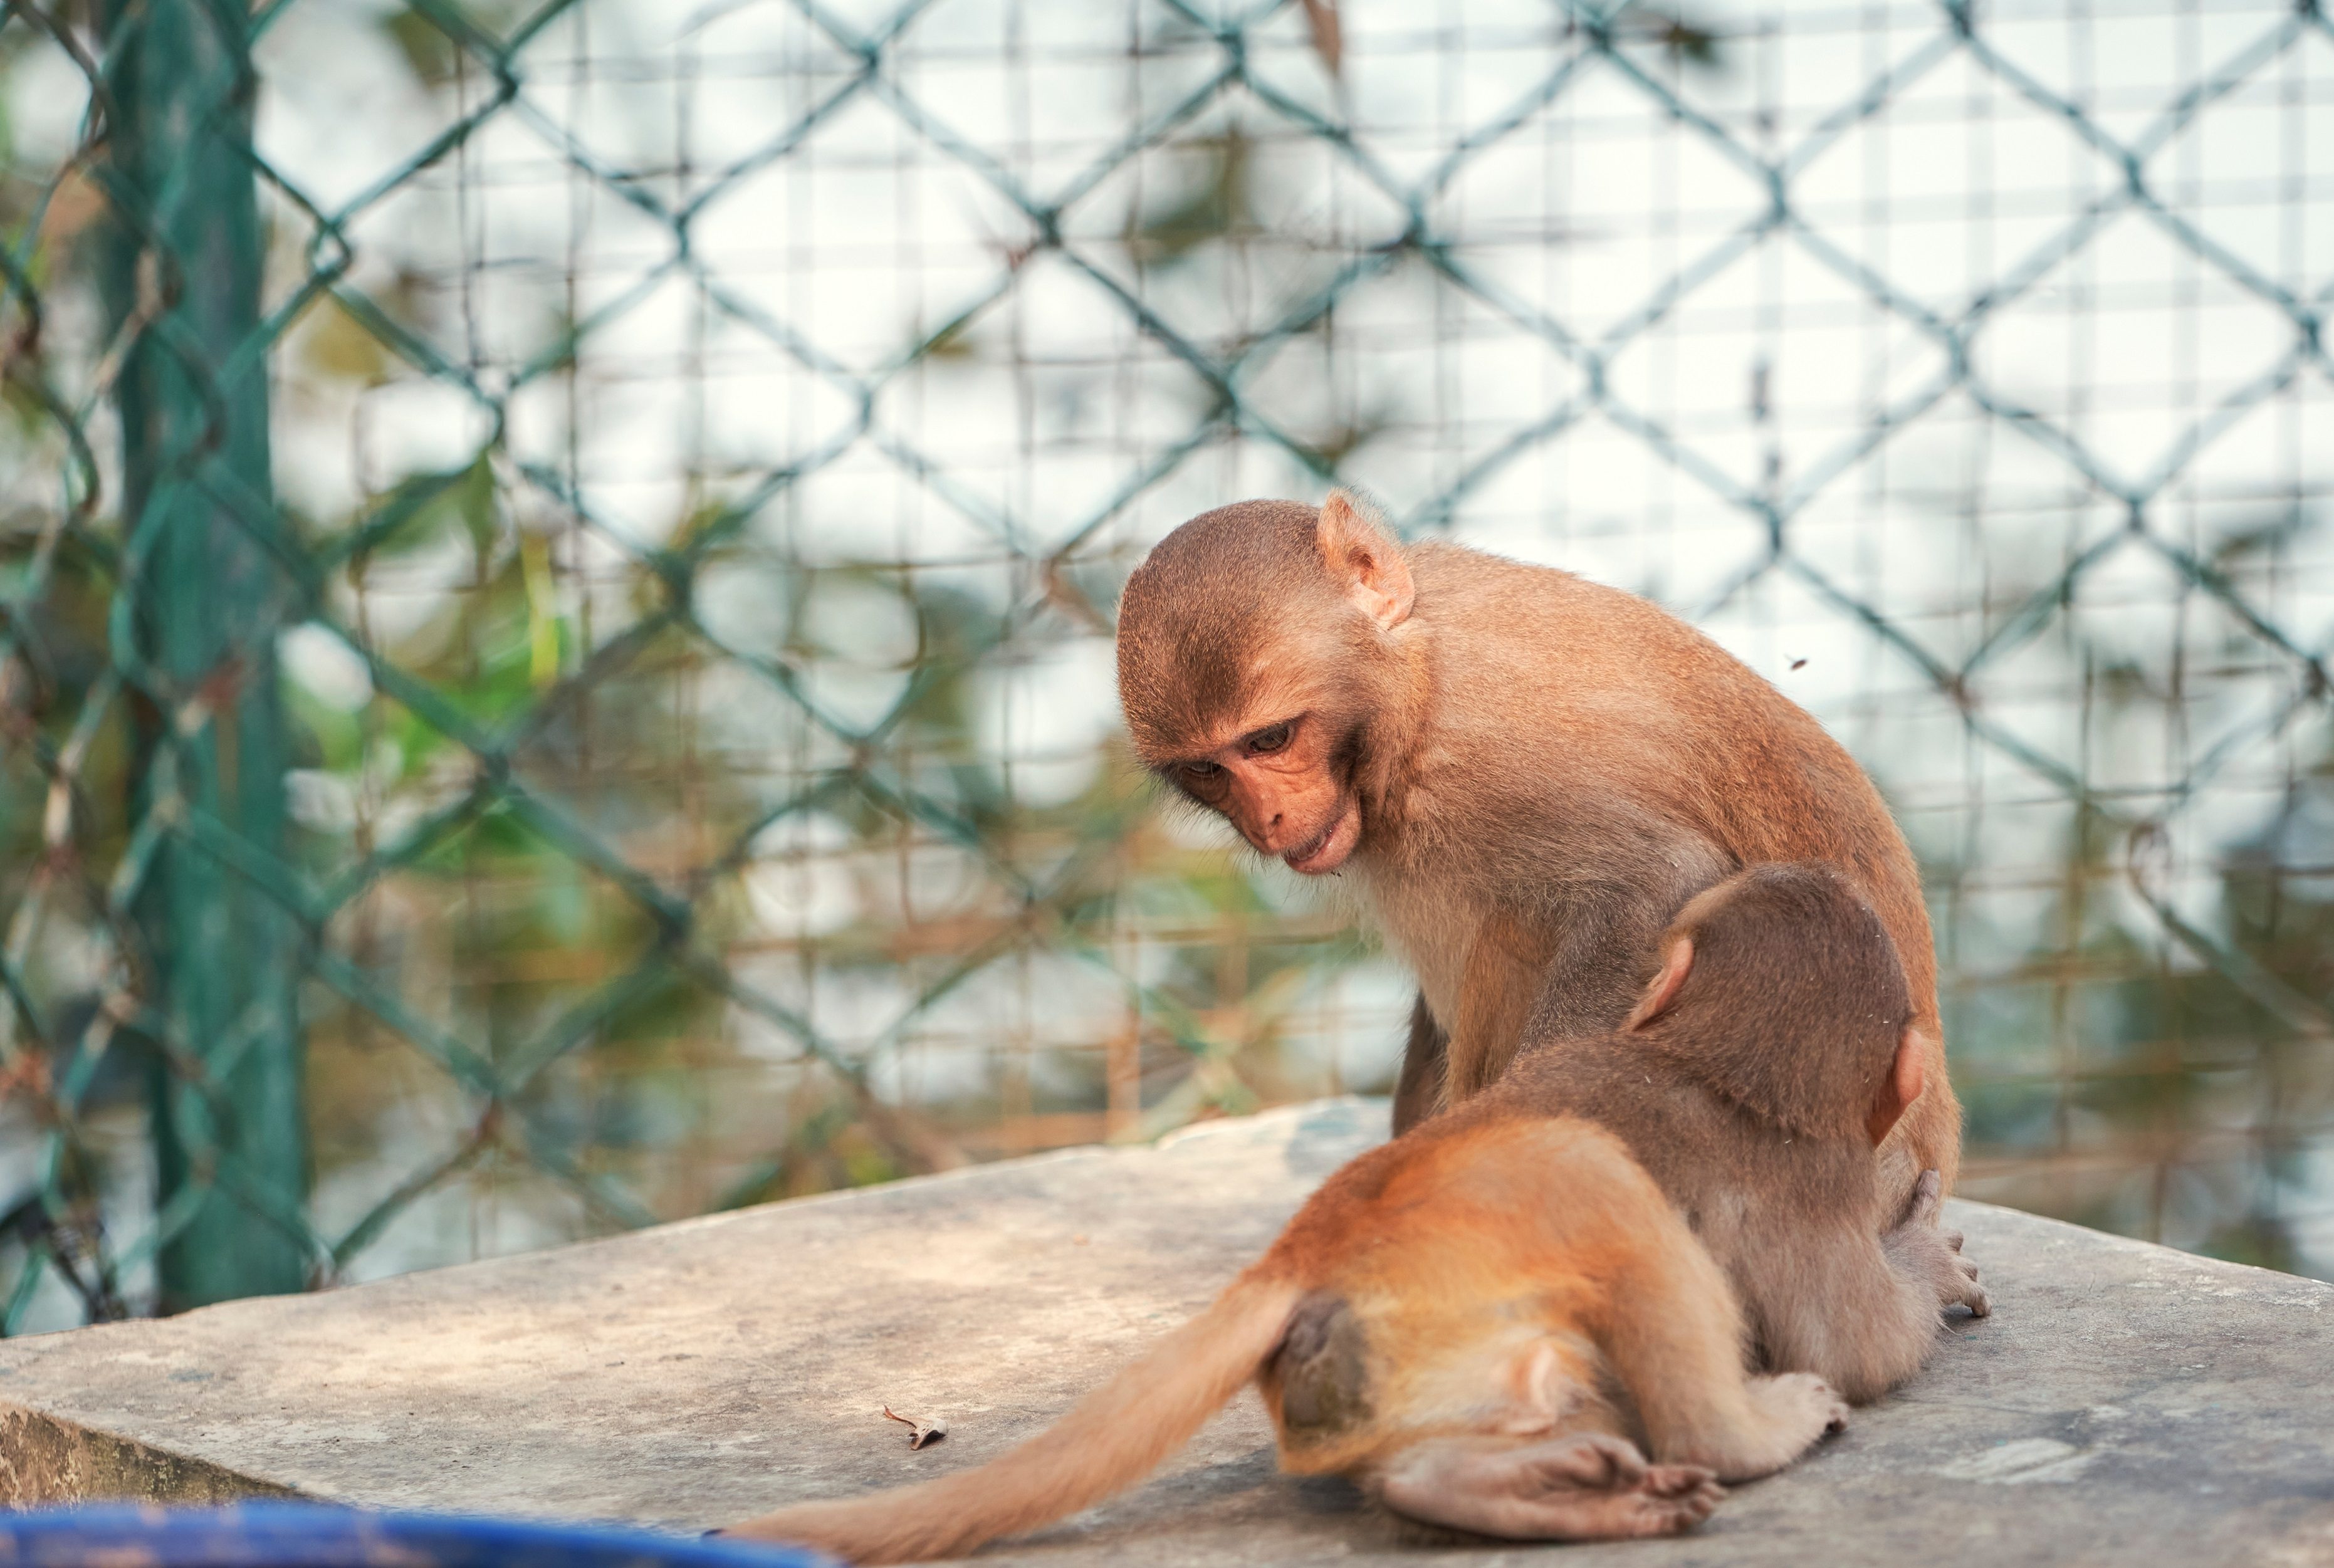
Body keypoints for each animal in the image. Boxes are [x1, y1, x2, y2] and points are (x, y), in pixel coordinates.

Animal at [719, 867, 1976, 1561]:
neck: (1718, 1067)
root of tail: (1294, 1260)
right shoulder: (1804, 1185)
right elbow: (1857, 1342)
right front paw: (1918, 1246)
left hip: (1405, 1369)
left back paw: (1472, 1487)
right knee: (1594, 1182)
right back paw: (1742, 1432)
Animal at [1113, 490, 1959, 1201]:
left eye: (1271, 739)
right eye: (1208, 769)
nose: (1269, 820)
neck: (1412, 681)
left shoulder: (1483, 755)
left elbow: (1656, 880)